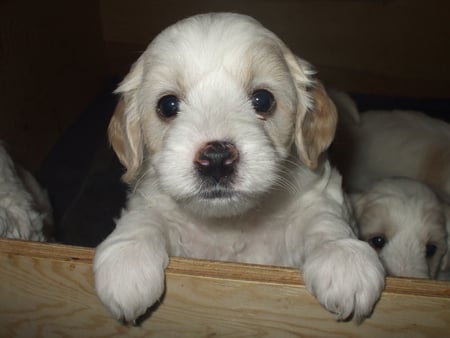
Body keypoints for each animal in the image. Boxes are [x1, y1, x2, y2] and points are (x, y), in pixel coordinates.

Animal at [93, 12, 384, 322]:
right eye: (168, 105)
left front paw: (343, 257)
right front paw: (127, 260)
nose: (216, 158)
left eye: (263, 100)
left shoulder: (316, 193)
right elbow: (145, 217)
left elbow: (324, 219)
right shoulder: (150, 198)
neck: (230, 222)